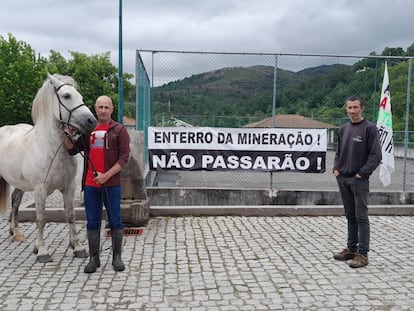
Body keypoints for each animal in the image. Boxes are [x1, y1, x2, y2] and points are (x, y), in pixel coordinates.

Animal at [0, 74, 96, 264]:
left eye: (80, 96)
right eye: (66, 96)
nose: (91, 121)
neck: (52, 148)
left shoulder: (69, 187)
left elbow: (70, 216)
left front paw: (77, 247)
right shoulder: (40, 190)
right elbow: (41, 219)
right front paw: (42, 252)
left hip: (21, 184)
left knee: (15, 201)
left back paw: (17, 232)